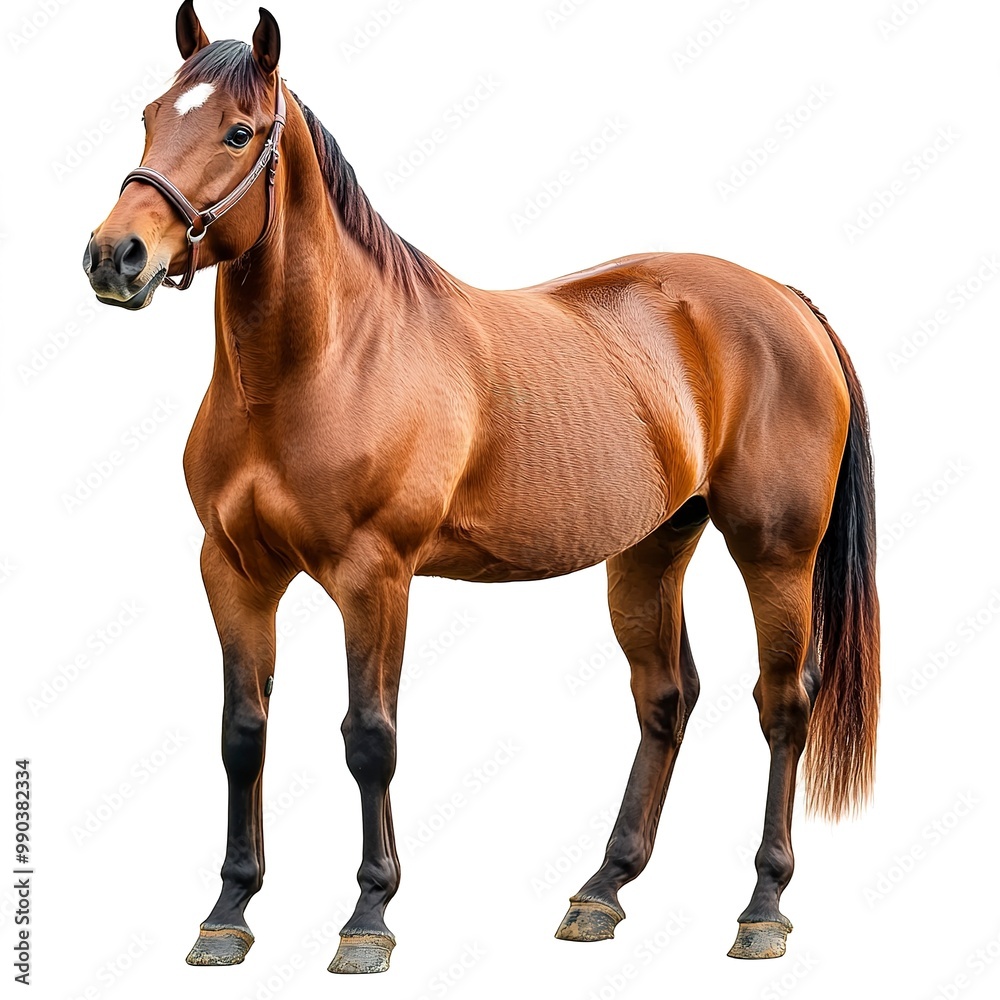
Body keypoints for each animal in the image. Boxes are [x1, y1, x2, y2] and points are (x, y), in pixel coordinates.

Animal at [82, 2, 880, 974]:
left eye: (238, 132)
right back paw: (601, 893)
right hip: (652, 548)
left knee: (782, 706)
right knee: (666, 698)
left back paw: (763, 907)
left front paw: (368, 918)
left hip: (775, 553)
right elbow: (244, 733)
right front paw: (228, 913)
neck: (320, 364)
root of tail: (786, 300)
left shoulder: (374, 576)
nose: (114, 257)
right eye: (151, 116)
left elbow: (370, 739)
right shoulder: (233, 571)